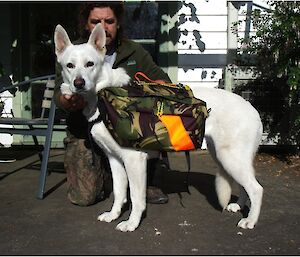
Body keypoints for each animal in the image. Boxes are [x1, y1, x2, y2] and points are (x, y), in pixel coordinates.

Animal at [54, 24, 262, 232]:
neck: (102, 97)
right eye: (69, 66)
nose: (78, 83)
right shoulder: (115, 159)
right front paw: (113, 215)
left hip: (230, 158)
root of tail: (253, 109)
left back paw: (250, 220)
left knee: (256, 189)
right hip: (225, 157)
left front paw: (132, 223)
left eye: (90, 64)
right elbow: (119, 193)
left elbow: (136, 198)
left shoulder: (134, 160)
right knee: (246, 186)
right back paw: (239, 206)